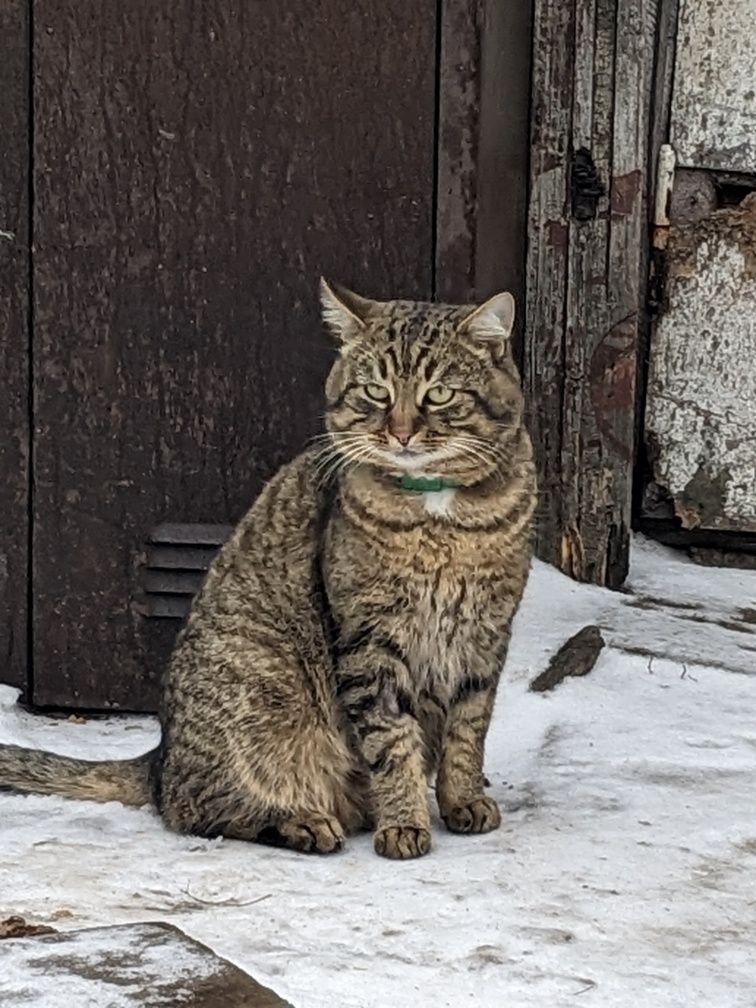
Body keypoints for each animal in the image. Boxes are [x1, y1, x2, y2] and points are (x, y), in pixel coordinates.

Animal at [0, 282, 536, 858]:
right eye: (375, 392)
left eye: (438, 395)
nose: (400, 434)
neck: (441, 520)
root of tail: (159, 756)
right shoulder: (370, 644)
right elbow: (392, 741)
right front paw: (403, 822)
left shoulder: (486, 636)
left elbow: (468, 731)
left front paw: (463, 800)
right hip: (261, 691)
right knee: (194, 808)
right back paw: (301, 821)